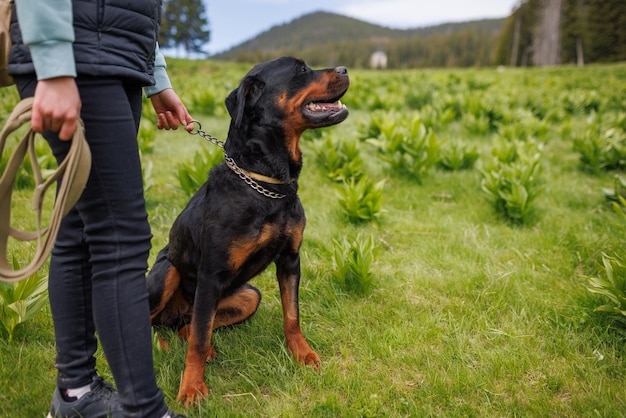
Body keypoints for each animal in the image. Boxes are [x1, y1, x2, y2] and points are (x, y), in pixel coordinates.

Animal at [148, 56, 348, 404]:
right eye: (301, 70)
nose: (346, 70)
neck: (266, 181)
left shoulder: (290, 259)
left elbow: (292, 315)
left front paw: (302, 354)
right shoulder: (210, 275)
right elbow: (198, 341)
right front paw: (191, 388)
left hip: (247, 296)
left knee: (190, 326)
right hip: (168, 273)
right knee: (160, 323)